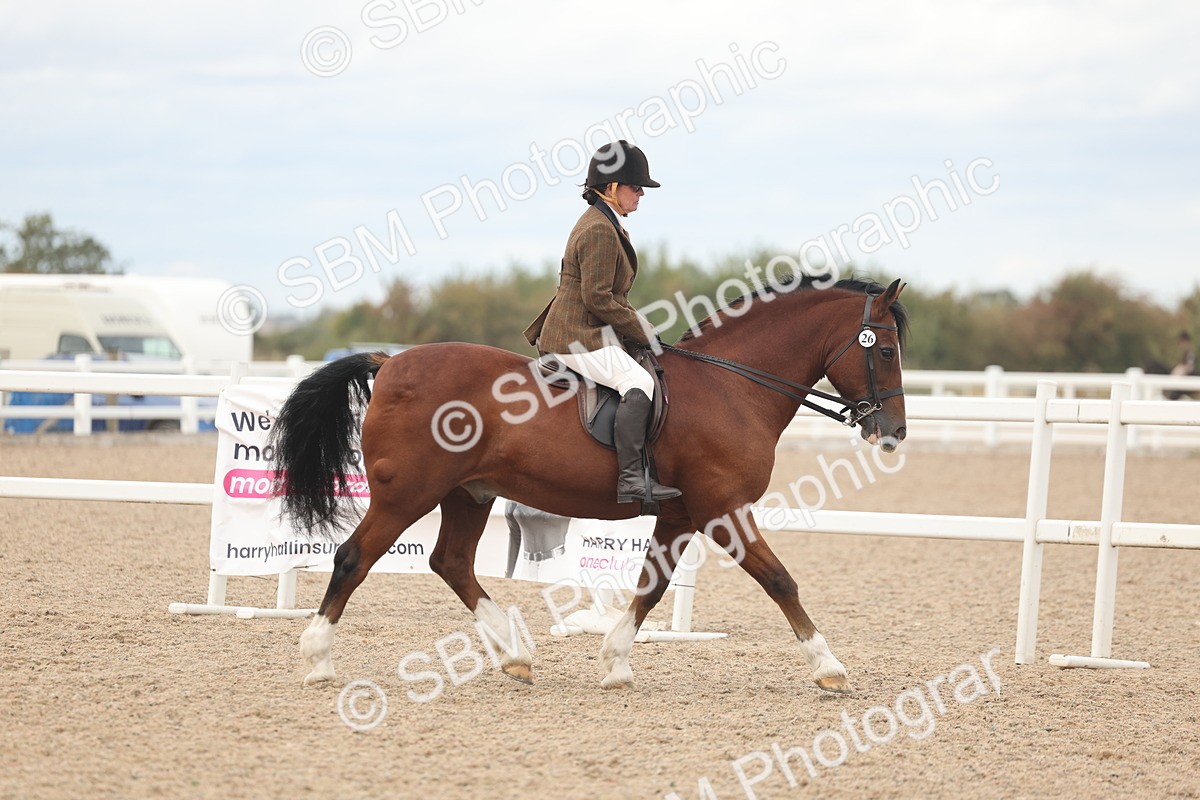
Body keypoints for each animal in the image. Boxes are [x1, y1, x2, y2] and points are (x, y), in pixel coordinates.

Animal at [269, 276, 909, 694]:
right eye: (885, 348)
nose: (894, 433)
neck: (732, 387)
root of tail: (390, 363)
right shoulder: (722, 509)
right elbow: (780, 580)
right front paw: (829, 667)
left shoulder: (681, 515)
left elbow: (652, 586)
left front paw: (615, 662)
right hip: (408, 493)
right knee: (354, 558)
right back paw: (318, 659)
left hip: (468, 493)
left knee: (450, 562)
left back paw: (515, 657)